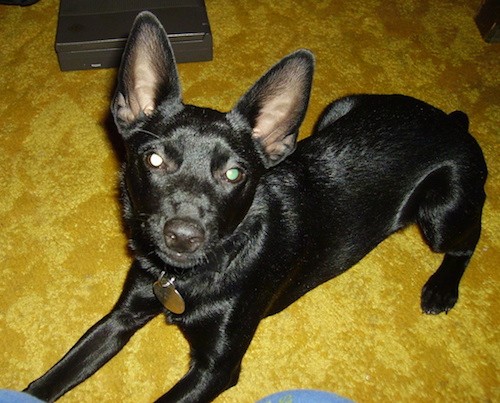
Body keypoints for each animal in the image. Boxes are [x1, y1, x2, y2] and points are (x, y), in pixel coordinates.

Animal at [24, 11, 488, 402]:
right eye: (153, 160)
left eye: (234, 174)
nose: (183, 235)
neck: (192, 278)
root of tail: (451, 121)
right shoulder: (124, 314)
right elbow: (55, 376)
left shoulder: (216, 369)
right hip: (336, 110)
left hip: (442, 211)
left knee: (470, 239)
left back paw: (442, 288)